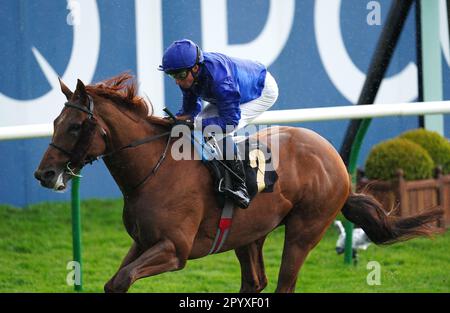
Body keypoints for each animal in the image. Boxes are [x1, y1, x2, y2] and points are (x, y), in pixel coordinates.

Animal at [35, 74, 442, 292]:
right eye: (55, 122)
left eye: (75, 126)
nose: (44, 174)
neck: (154, 171)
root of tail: (334, 157)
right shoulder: (143, 242)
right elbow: (114, 281)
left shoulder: (174, 249)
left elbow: (122, 280)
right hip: (248, 233)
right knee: (255, 282)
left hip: (304, 229)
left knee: (284, 282)